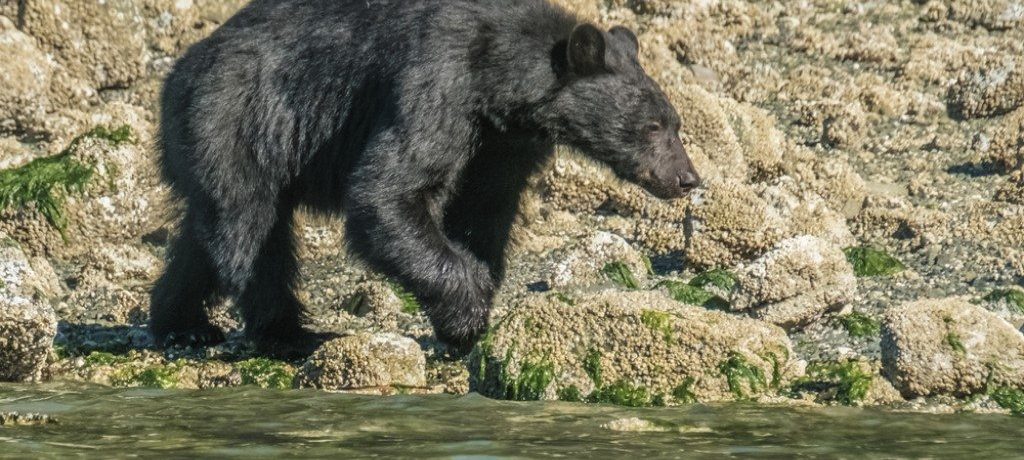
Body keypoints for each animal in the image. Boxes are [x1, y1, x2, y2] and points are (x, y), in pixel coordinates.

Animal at [149, 0, 696, 356]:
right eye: (653, 125)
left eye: (675, 122)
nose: (688, 178)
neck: (499, 80)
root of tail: (176, 74)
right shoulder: (435, 88)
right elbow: (387, 192)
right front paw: (466, 316)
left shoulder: (504, 143)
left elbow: (483, 209)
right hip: (235, 122)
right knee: (251, 228)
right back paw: (288, 333)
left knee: (203, 238)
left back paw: (181, 324)